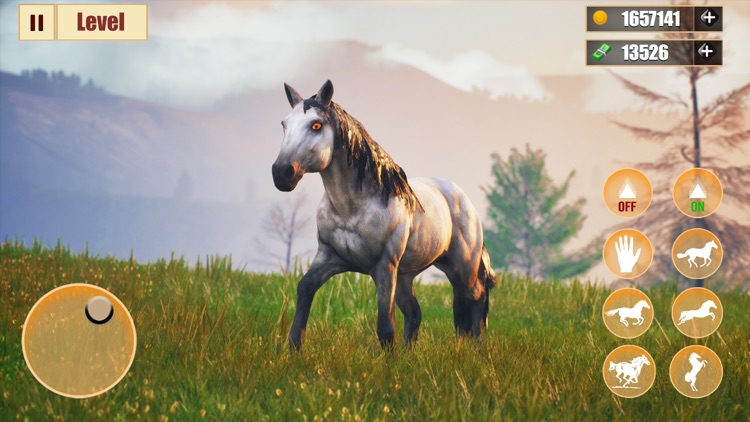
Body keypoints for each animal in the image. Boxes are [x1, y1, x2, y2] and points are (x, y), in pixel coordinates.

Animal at [272, 80, 496, 352]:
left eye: (316, 125)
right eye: (284, 124)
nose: (281, 173)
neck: (352, 207)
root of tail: (466, 202)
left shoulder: (384, 267)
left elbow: (386, 328)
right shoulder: (330, 257)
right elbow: (305, 288)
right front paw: (295, 348)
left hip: (462, 269)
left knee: (477, 299)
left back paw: (478, 348)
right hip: (406, 277)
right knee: (415, 313)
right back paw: (410, 353)